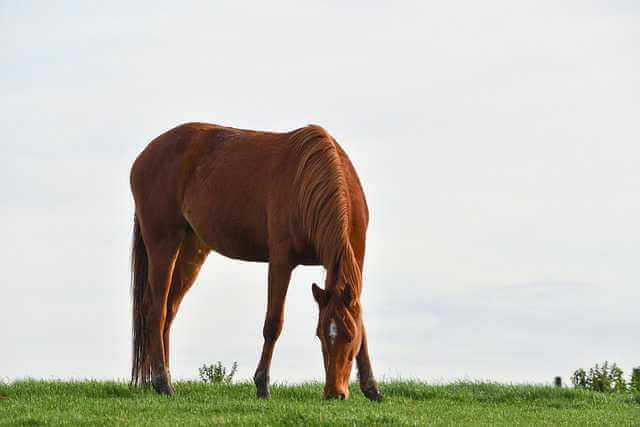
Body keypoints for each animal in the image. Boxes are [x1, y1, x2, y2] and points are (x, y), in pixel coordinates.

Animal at [128, 121, 382, 402]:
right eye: (320, 335)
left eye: (348, 335)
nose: (334, 393)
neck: (310, 180)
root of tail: (145, 155)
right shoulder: (281, 261)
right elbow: (273, 323)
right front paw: (262, 385)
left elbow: (362, 324)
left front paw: (371, 387)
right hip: (163, 243)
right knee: (156, 310)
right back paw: (162, 382)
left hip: (191, 248)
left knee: (170, 309)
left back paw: (164, 378)